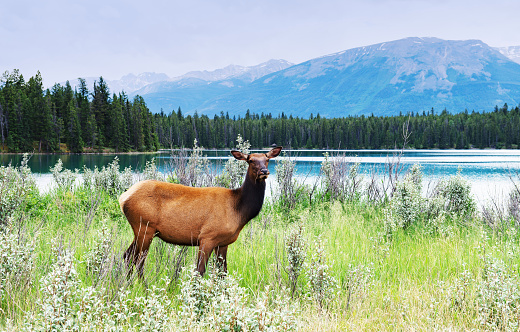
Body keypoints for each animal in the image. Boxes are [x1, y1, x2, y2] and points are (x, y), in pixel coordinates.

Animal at [119, 147, 280, 276]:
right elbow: (200, 271)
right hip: (145, 227)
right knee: (139, 261)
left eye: (267, 159)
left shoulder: (223, 242)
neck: (238, 210)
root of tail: (123, 197)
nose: (264, 171)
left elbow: (223, 272)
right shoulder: (207, 236)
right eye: (251, 160)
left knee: (127, 256)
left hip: (142, 231)